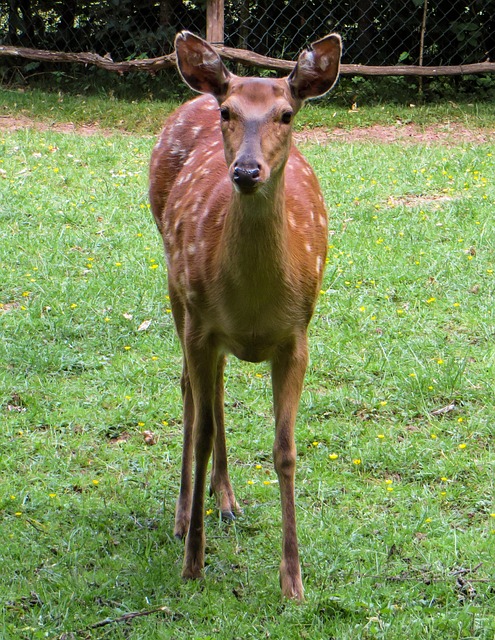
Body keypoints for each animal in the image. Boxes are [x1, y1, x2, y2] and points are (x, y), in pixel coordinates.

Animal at [147, 30, 340, 600]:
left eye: (286, 114)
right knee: (193, 395)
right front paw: (193, 563)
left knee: (216, 391)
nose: (247, 171)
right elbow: (202, 430)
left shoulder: (297, 336)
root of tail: (194, 95)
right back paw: (185, 515)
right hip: (177, 289)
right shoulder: (201, 324)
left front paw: (293, 581)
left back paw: (226, 499)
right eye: (229, 112)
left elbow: (286, 450)